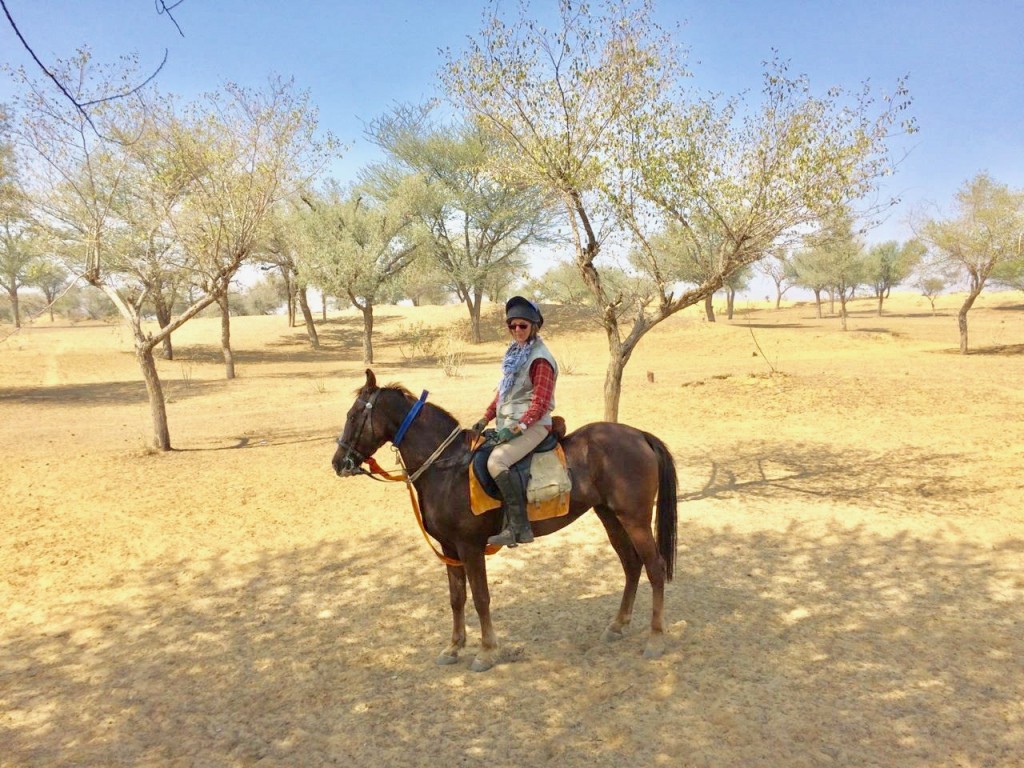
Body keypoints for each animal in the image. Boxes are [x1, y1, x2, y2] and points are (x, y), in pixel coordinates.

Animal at [332, 369, 679, 672]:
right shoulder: (449, 549)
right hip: (611, 517)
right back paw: (618, 626)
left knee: (655, 567)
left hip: (634, 519)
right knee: (631, 565)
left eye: (353, 416)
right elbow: (456, 598)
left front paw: (486, 652)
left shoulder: (470, 547)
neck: (448, 467)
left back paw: (655, 638)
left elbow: (481, 598)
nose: (338, 462)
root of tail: (638, 435)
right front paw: (454, 647)